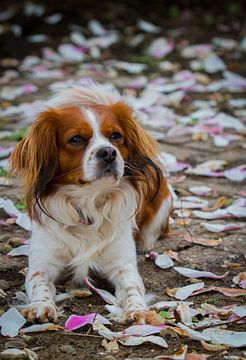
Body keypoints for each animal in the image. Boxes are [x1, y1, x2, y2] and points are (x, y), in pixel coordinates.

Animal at [9, 86, 171, 324]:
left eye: (116, 136)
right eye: (76, 139)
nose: (109, 152)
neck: (89, 202)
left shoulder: (123, 266)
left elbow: (133, 287)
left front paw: (138, 310)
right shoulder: (43, 264)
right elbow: (39, 282)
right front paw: (41, 306)